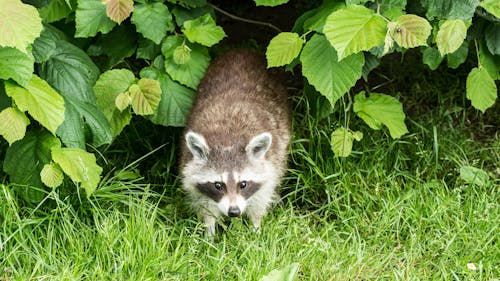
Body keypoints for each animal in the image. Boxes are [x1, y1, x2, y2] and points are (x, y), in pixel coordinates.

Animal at [180, 48, 292, 234]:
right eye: (218, 185)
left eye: (243, 184)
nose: (234, 212)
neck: (228, 140)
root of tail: (242, 51)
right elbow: (206, 207)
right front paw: (209, 232)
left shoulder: (270, 163)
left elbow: (261, 199)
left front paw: (256, 228)